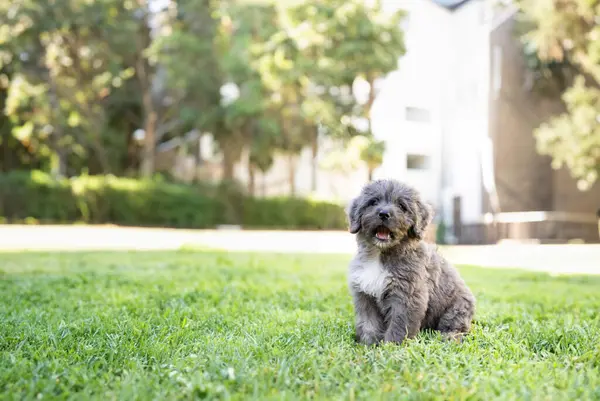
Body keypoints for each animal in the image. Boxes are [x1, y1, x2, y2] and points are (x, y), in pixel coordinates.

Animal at [344, 178, 476, 344]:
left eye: (401, 206)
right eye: (373, 202)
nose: (384, 213)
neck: (380, 255)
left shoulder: (407, 296)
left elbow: (399, 324)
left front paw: (392, 345)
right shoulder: (365, 295)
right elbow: (369, 323)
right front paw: (368, 344)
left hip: (457, 309)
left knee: (455, 326)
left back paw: (449, 336)